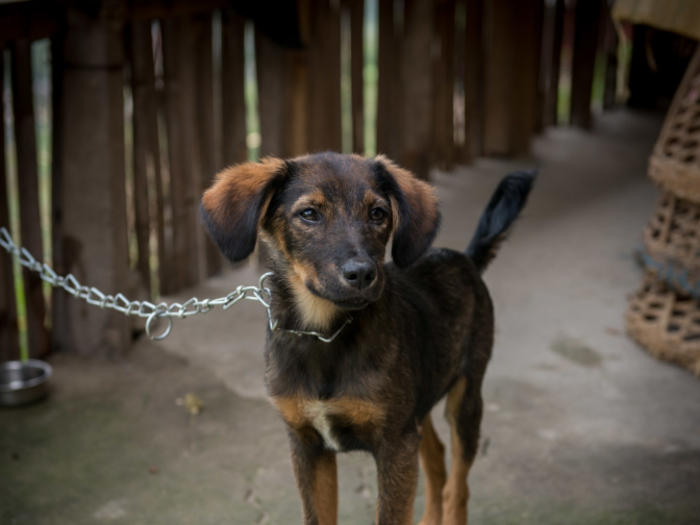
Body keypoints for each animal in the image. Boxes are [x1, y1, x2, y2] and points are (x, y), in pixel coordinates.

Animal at [202, 152, 536, 524]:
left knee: (458, 487)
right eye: (309, 213)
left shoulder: (395, 443)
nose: (362, 274)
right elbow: (317, 516)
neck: (323, 333)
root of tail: (465, 259)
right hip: (418, 404)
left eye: (378, 214)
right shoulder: (307, 443)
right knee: (436, 456)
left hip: (465, 396)